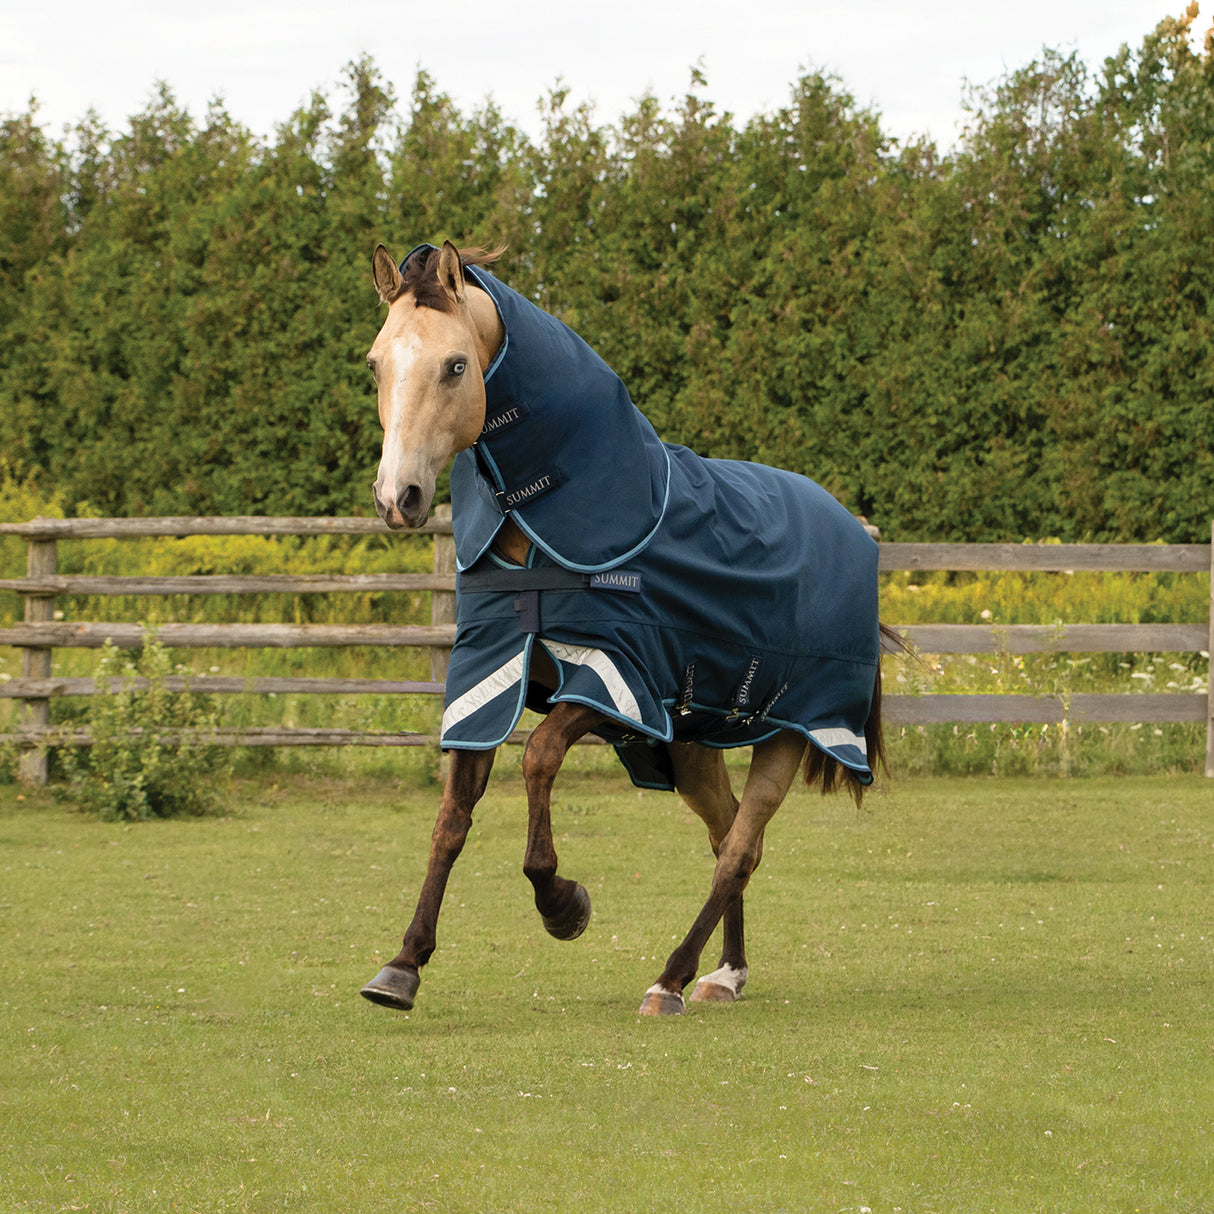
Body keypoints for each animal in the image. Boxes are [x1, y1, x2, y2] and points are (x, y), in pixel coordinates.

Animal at [354, 236, 898, 1014]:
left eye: (455, 365)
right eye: (375, 364)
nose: (398, 498)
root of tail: (853, 530)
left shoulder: (614, 680)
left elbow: (538, 757)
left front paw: (561, 903)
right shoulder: (487, 675)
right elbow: (452, 816)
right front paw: (403, 964)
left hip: (795, 731)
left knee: (740, 848)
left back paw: (671, 978)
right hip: (694, 746)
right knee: (730, 835)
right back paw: (725, 973)